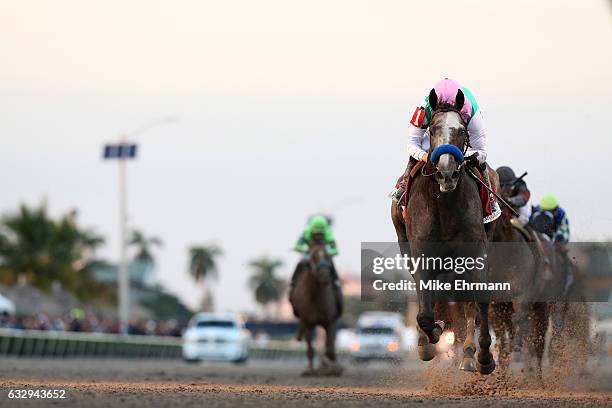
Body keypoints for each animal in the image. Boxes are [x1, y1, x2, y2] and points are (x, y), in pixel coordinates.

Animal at [290, 242, 342, 376]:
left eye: (328, 256)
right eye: (313, 257)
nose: (324, 276)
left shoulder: (330, 321)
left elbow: (330, 349)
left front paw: (332, 367)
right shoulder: (306, 322)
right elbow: (310, 349)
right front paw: (309, 370)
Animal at [392, 87, 498, 374]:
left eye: (461, 130)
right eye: (431, 129)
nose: (446, 173)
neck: (444, 204)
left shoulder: (477, 253)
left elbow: (479, 301)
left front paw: (484, 357)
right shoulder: (421, 252)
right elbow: (424, 310)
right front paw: (431, 337)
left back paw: (469, 355)